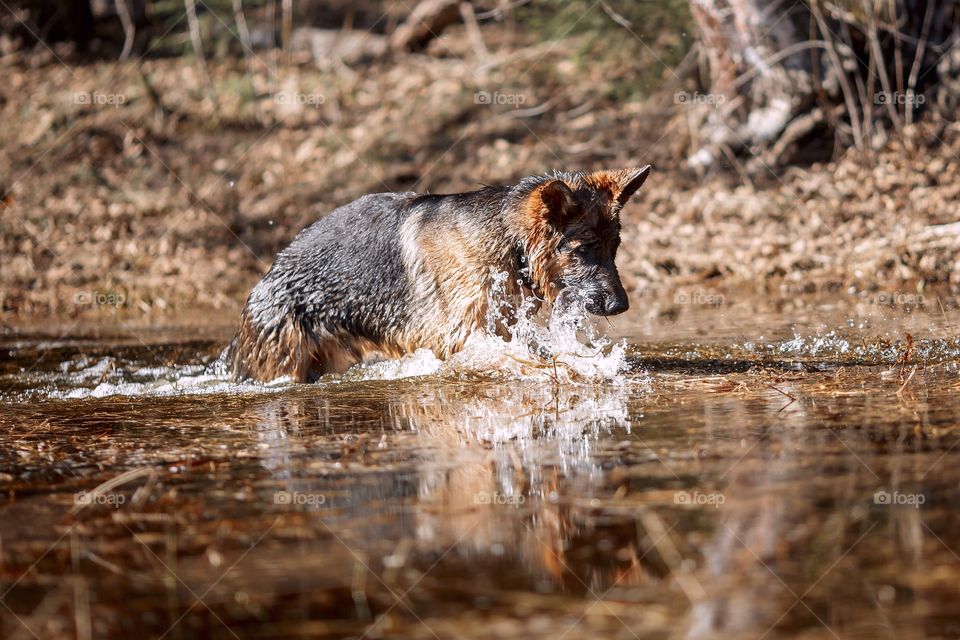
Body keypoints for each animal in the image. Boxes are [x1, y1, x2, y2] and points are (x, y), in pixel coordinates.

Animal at [226, 168, 648, 382]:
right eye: (585, 249)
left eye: (614, 247)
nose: (621, 305)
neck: (509, 240)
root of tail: (266, 278)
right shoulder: (463, 336)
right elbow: (524, 360)